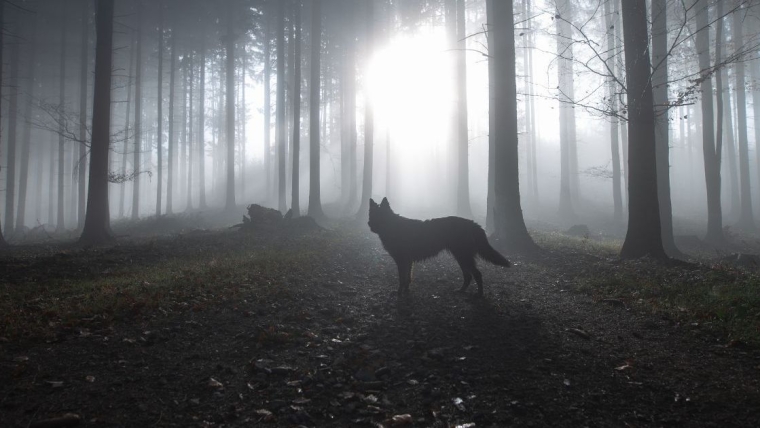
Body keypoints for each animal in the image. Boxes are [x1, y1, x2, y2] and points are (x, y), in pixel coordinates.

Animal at [368, 197, 510, 297]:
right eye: (372, 215)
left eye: (379, 216)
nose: (369, 224)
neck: (392, 226)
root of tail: (472, 223)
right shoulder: (409, 261)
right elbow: (408, 278)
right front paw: (407, 291)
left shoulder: (402, 261)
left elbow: (402, 279)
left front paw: (399, 293)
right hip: (461, 256)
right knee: (468, 275)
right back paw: (461, 290)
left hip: (463, 256)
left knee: (477, 274)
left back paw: (479, 294)